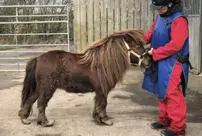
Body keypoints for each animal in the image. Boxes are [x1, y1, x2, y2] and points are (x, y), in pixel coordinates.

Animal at [18, 29, 152, 127]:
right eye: (137, 46)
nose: (149, 61)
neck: (103, 63)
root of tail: (38, 58)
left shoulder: (99, 91)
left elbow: (98, 103)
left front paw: (97, 118)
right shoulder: (103, 90)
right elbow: (103, 103)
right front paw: (105, 119)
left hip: (39, 88)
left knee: (30, 100)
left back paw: (24, 118)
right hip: (47, 88)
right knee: (41, 103)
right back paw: (45, 122)